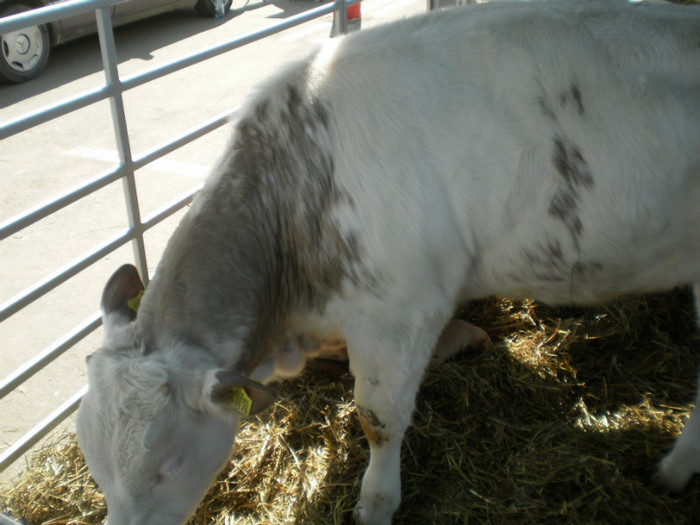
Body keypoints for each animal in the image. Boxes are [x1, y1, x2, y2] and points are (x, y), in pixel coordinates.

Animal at [76, 2, 700, 520]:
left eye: (169, 466)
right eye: (97, 471)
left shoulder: (400, 312)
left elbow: (379, 421)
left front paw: (375, 503)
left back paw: (672, 472)